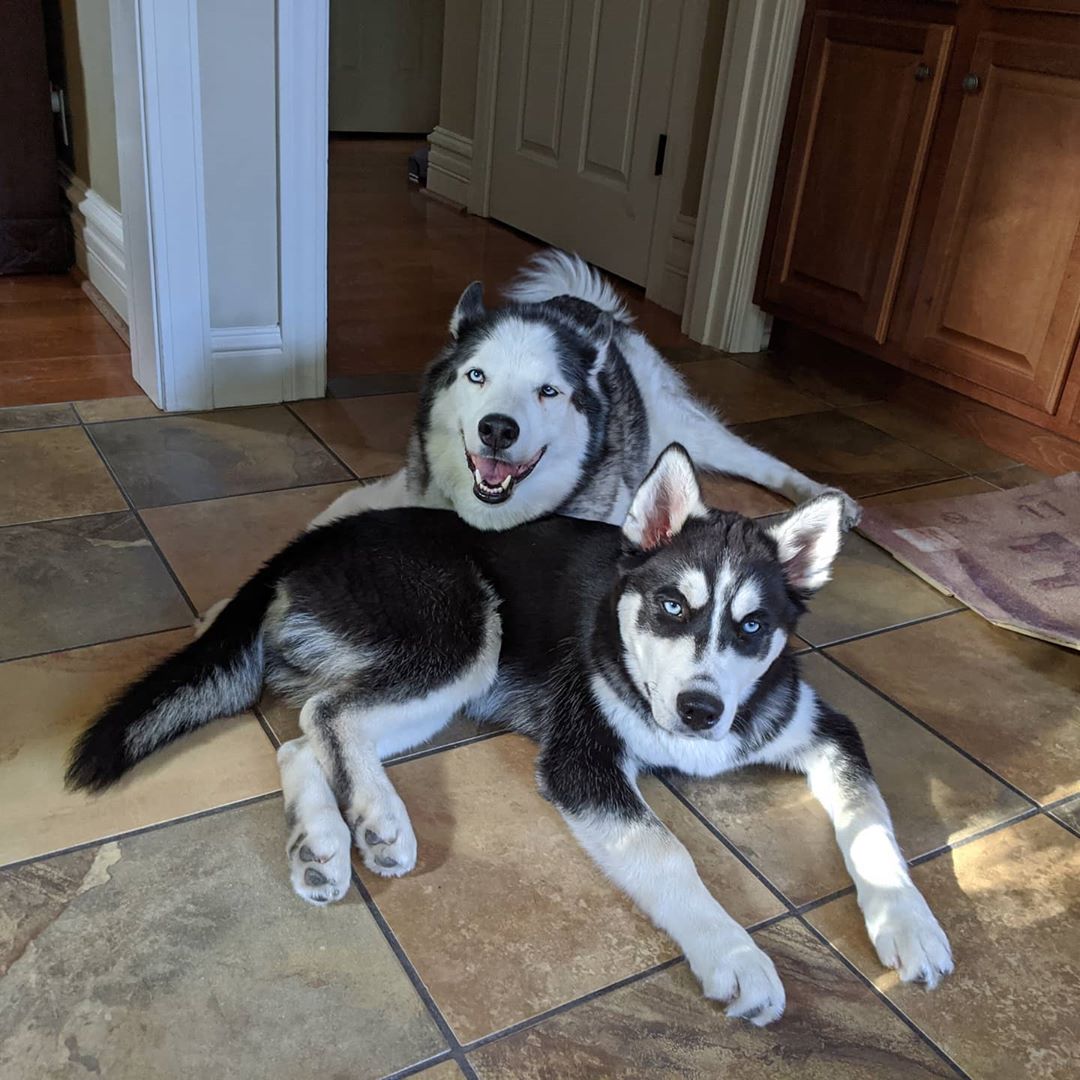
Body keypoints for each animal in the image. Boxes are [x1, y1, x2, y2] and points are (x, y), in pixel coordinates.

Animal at [67, 444, 950, 1019]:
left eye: (754, 626)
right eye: (671, 606)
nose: (701, 711)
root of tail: (312, 540)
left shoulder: (823, 727)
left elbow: (872, 824)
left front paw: (909, 925)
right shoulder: (581, 759)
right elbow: (668, 853)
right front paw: (735, 955)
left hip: (444, 675)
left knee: (304, 735)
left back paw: (326, 841)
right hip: (463, 633)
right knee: (325, 715)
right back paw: (378, 820)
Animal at [306, 246, 859, 531]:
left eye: (549, 391)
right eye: (477, 375)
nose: (497, 430)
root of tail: (593, 309)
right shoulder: (398, 491)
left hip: (683, 429)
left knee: (762, 461)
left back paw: (829, 499)